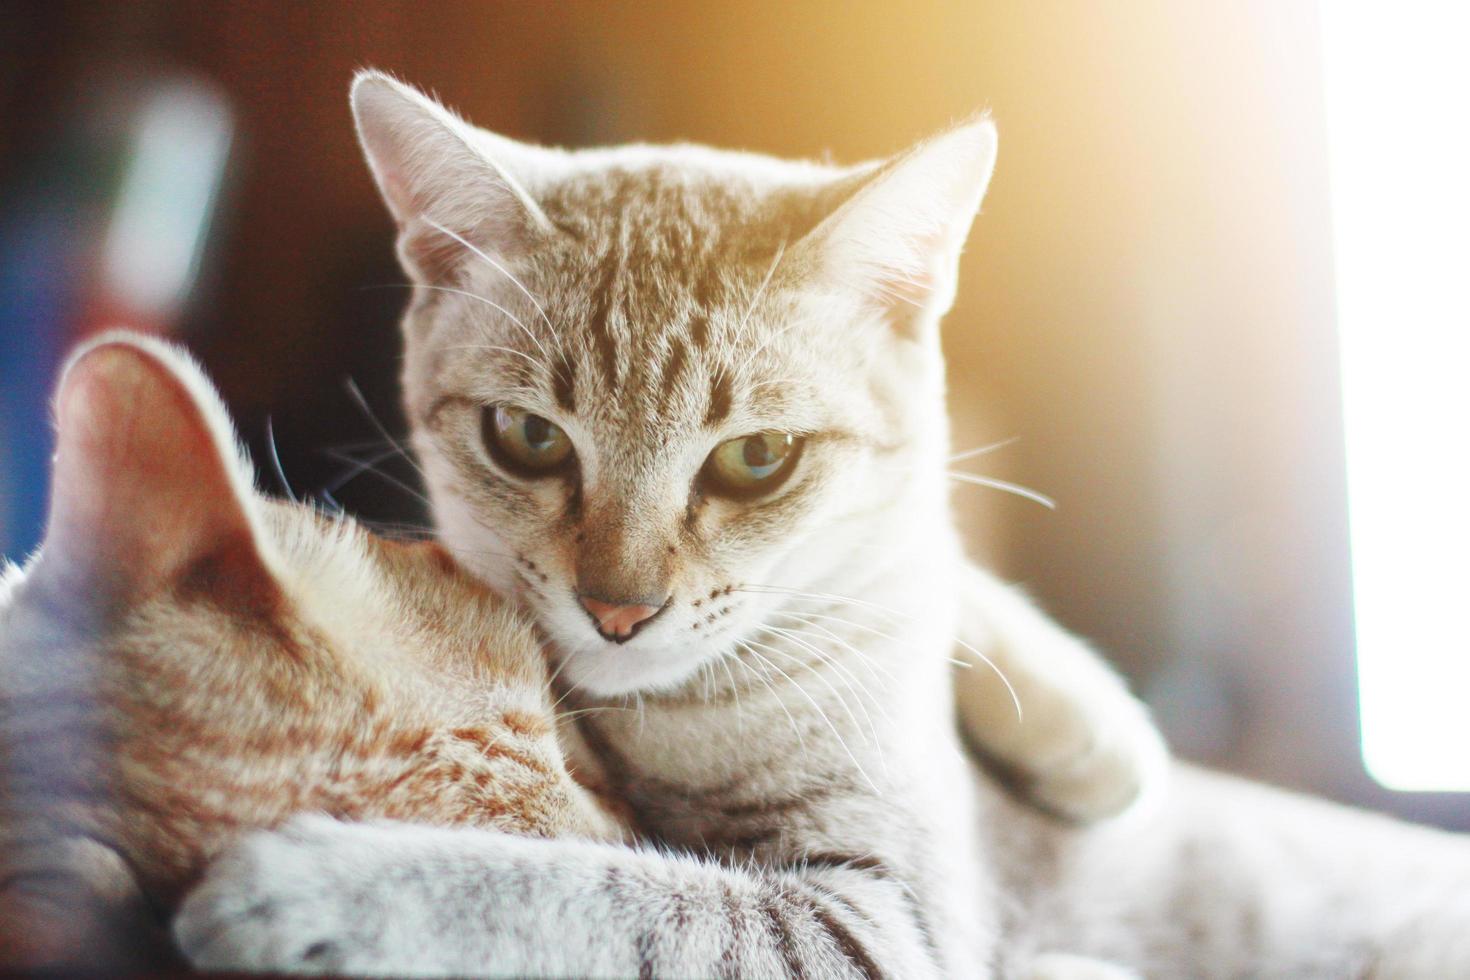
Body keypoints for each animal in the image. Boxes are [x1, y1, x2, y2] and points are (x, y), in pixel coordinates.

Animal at [171, 70, 1470, 980]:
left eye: (756, 458)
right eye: (528, 438)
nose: (618, 609)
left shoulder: (888, 910)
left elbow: (614, 894)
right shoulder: (862, 916)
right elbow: (617, 888)